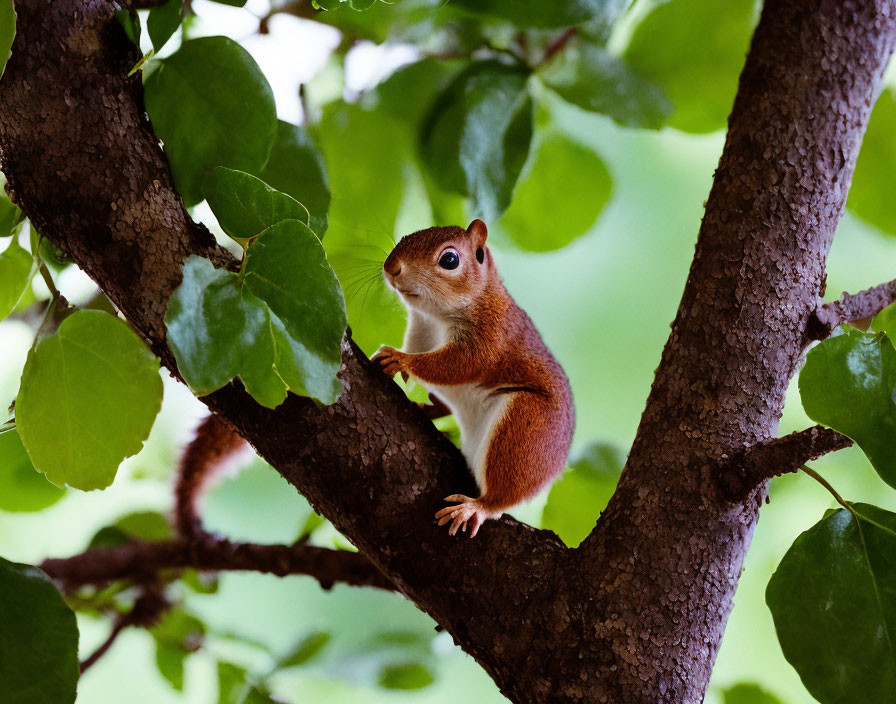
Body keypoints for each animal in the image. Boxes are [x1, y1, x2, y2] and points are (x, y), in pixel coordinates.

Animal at [372, 220, 576, 540]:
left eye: (449, 260)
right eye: (406, 236)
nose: (392, 268)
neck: (435, 319)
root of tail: (555, 467)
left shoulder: (491, 335)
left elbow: (457, 365)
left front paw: (399, 359)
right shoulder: (420, 336)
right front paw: (419, 398)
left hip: (526, 432)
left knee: (503, 494)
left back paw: (477, 507)